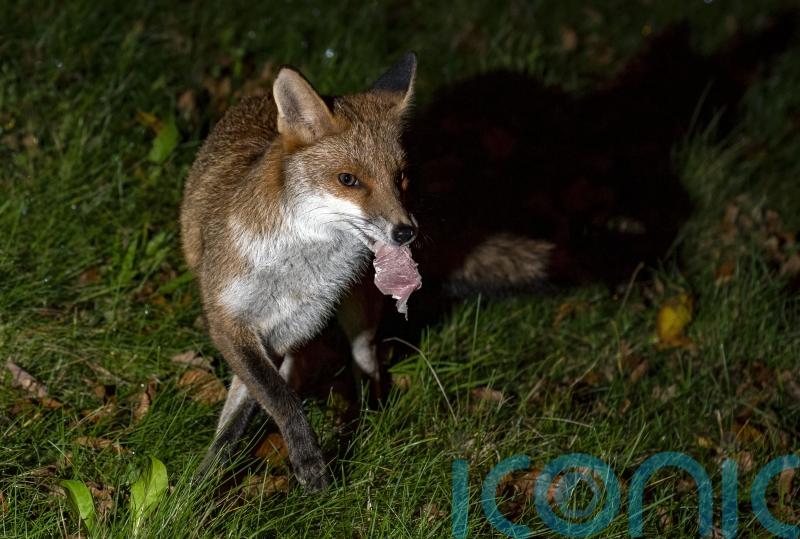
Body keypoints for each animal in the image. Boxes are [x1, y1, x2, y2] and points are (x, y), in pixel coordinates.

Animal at [181, 53, 420, 490]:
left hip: (359, 315)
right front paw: (205, 482)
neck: (295, 269)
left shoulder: (289, 327)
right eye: (348, 180)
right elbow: (273, 401)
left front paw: (308, 462)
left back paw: (372, 411)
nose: (405, 232)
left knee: (365, 358)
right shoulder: (231, 322)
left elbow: (269, 399)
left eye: (401, 178)